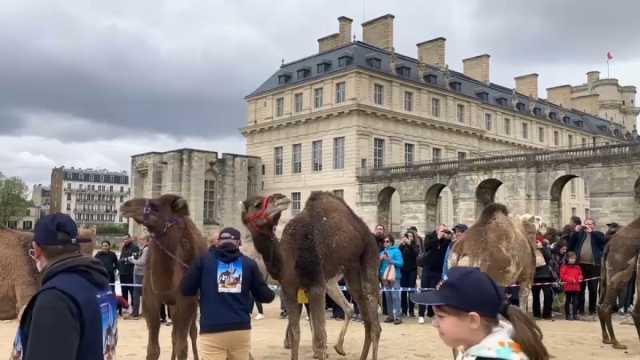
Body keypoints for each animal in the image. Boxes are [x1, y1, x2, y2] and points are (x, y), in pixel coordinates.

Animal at [121, 194, 206, 360]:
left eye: (155, 206)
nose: (126, 205)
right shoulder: (150, 301)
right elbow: (153, 349)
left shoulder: (186, 302)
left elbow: (182, 347)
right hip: (172, 304)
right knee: (175, 335)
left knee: (192, 333)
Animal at [240, 193, 380, 360]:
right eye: (257, 204)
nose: (280, 197)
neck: (288, 259)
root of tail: (363, 227)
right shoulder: (289, 291)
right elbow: (296, 334)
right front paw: (291, 343)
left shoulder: (316, 286)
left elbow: (319, 337)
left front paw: (320, 352)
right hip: (349, 269)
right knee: (365, 317)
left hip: (368, 254)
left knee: (373, 318)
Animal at [596, 217, 640, 348]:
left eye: (611, 230)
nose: (605, 236)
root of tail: (609, 246)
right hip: (622, 266)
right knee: (607, 305)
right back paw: (616, 343)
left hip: (605, 271)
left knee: (600, 304)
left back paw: (606, 339)